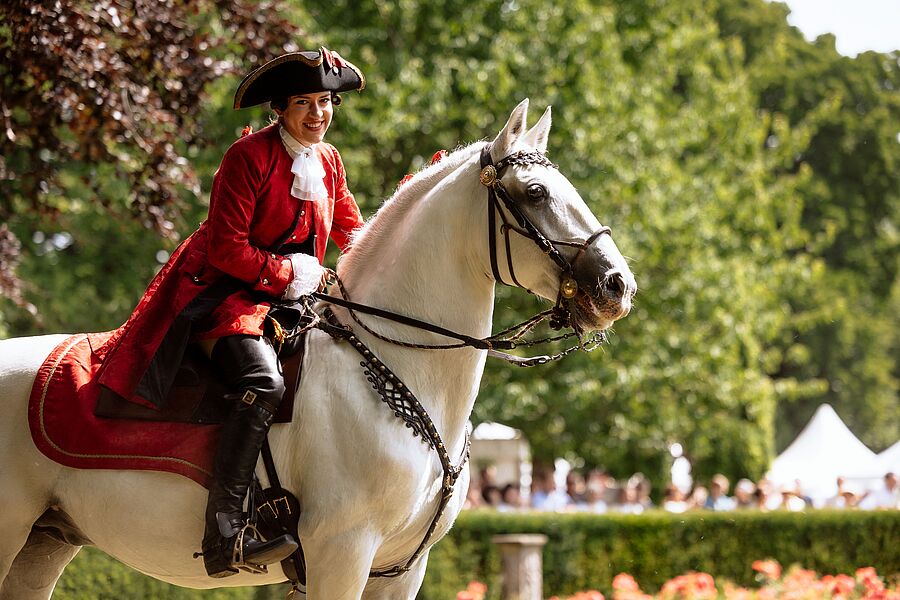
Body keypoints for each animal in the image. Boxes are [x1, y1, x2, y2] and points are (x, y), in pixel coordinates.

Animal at [0, 101, 632, 596]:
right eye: (535, 193)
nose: (617, 286)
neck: (397, 369)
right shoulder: (341, 554)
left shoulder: (399, 571)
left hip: (42, 544)